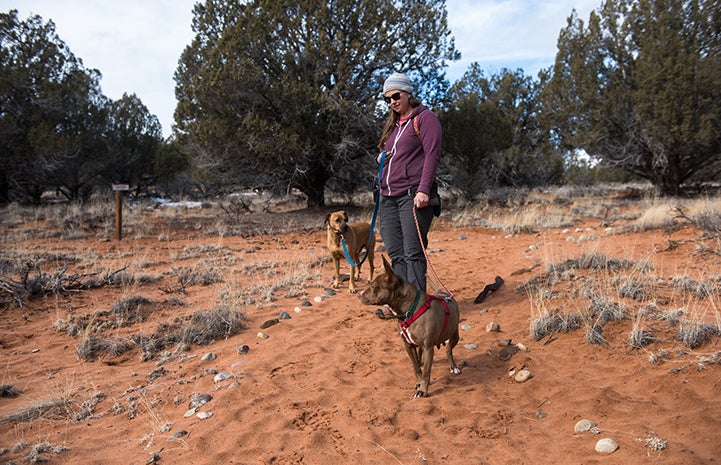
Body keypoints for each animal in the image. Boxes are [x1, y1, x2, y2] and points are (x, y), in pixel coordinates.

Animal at [356, 254, 462, 396]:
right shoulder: (408, 346)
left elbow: (426, 371)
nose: (358, 294)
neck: (409, 310)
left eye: (373, 286)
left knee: (449, 350)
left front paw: (423, 390)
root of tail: (443, 292)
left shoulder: (428, 348)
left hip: (454, 336)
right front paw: (419, 383)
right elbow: (416, 367)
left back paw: (454, 367)